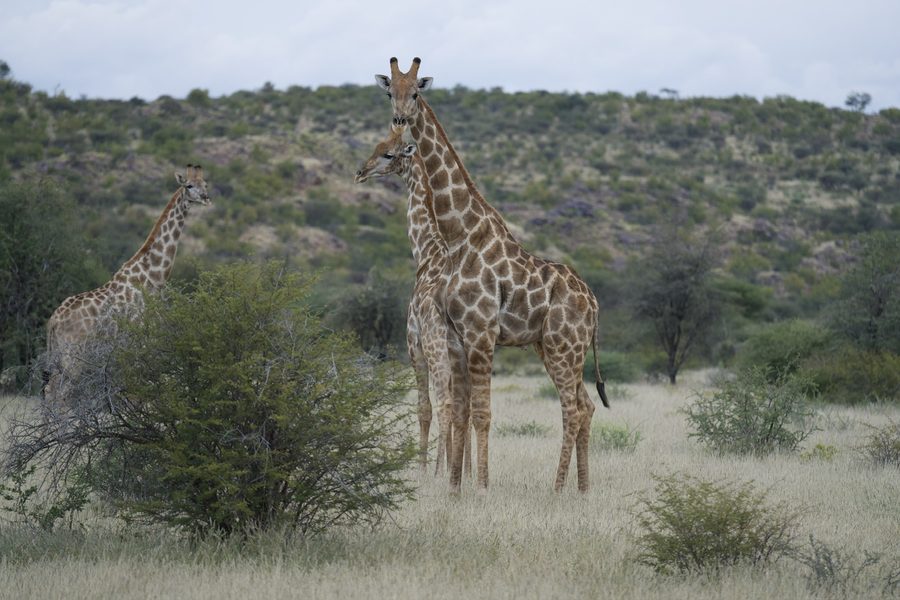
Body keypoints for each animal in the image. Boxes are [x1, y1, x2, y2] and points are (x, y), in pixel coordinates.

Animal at [43, 164, 211, 402]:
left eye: (205, 183)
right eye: (188, 185)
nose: (206, 198)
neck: (152, 277)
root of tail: (53, 321)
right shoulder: (141, 344)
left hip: (58, 355)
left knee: (49, 392)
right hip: (73, 356)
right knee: (60, 395)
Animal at [354, 128, 471, 476]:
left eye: (389, 154)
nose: (360, 172)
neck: (425, 250)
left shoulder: (413, 343)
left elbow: (423, 407)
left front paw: (423, 470)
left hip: (436, 351)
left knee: (444, 404)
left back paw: (437, 471)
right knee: (469, 407)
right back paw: (465, 472)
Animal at [376, 58, 610, 493]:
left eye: (416, 90)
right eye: (388, 91)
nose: (400, 119)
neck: (459, 234)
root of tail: (594, 304)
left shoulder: (481, 333)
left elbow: (481, 413)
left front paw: (481, 487)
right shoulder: (458, 336)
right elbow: (462, 411)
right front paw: (454, 487)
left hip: (563, 347)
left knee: (571, 409)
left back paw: (557, 490)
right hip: (555, 348)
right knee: (585, 405)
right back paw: (582, 489)